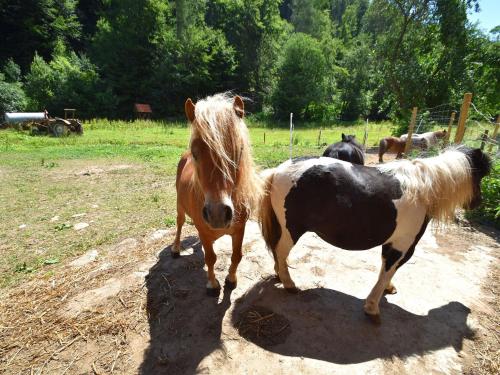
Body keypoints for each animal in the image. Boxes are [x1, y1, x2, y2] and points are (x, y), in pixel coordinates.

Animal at [174, 93, 264, 296]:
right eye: (195, 152)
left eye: (239, 150)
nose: (217, 214)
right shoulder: (204, 232)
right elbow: (210, 258)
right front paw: (213, 285)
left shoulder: (239, 230)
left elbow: (237, 255)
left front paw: (231, 279)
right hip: (179, 206)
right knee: (179, 223)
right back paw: (175, 249)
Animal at [260, 146, 490, 324]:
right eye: (481, 175)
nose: (477, 202)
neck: (424, 190)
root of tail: (278, 170)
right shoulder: (403, 245)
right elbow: (389, 270)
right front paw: (372, 307)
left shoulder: (392, 244)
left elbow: (386, 269)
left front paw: (388, 289)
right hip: (292, 230)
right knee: (280, 251)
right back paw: (289, 284)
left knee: (277, 252)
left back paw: (280, 275)